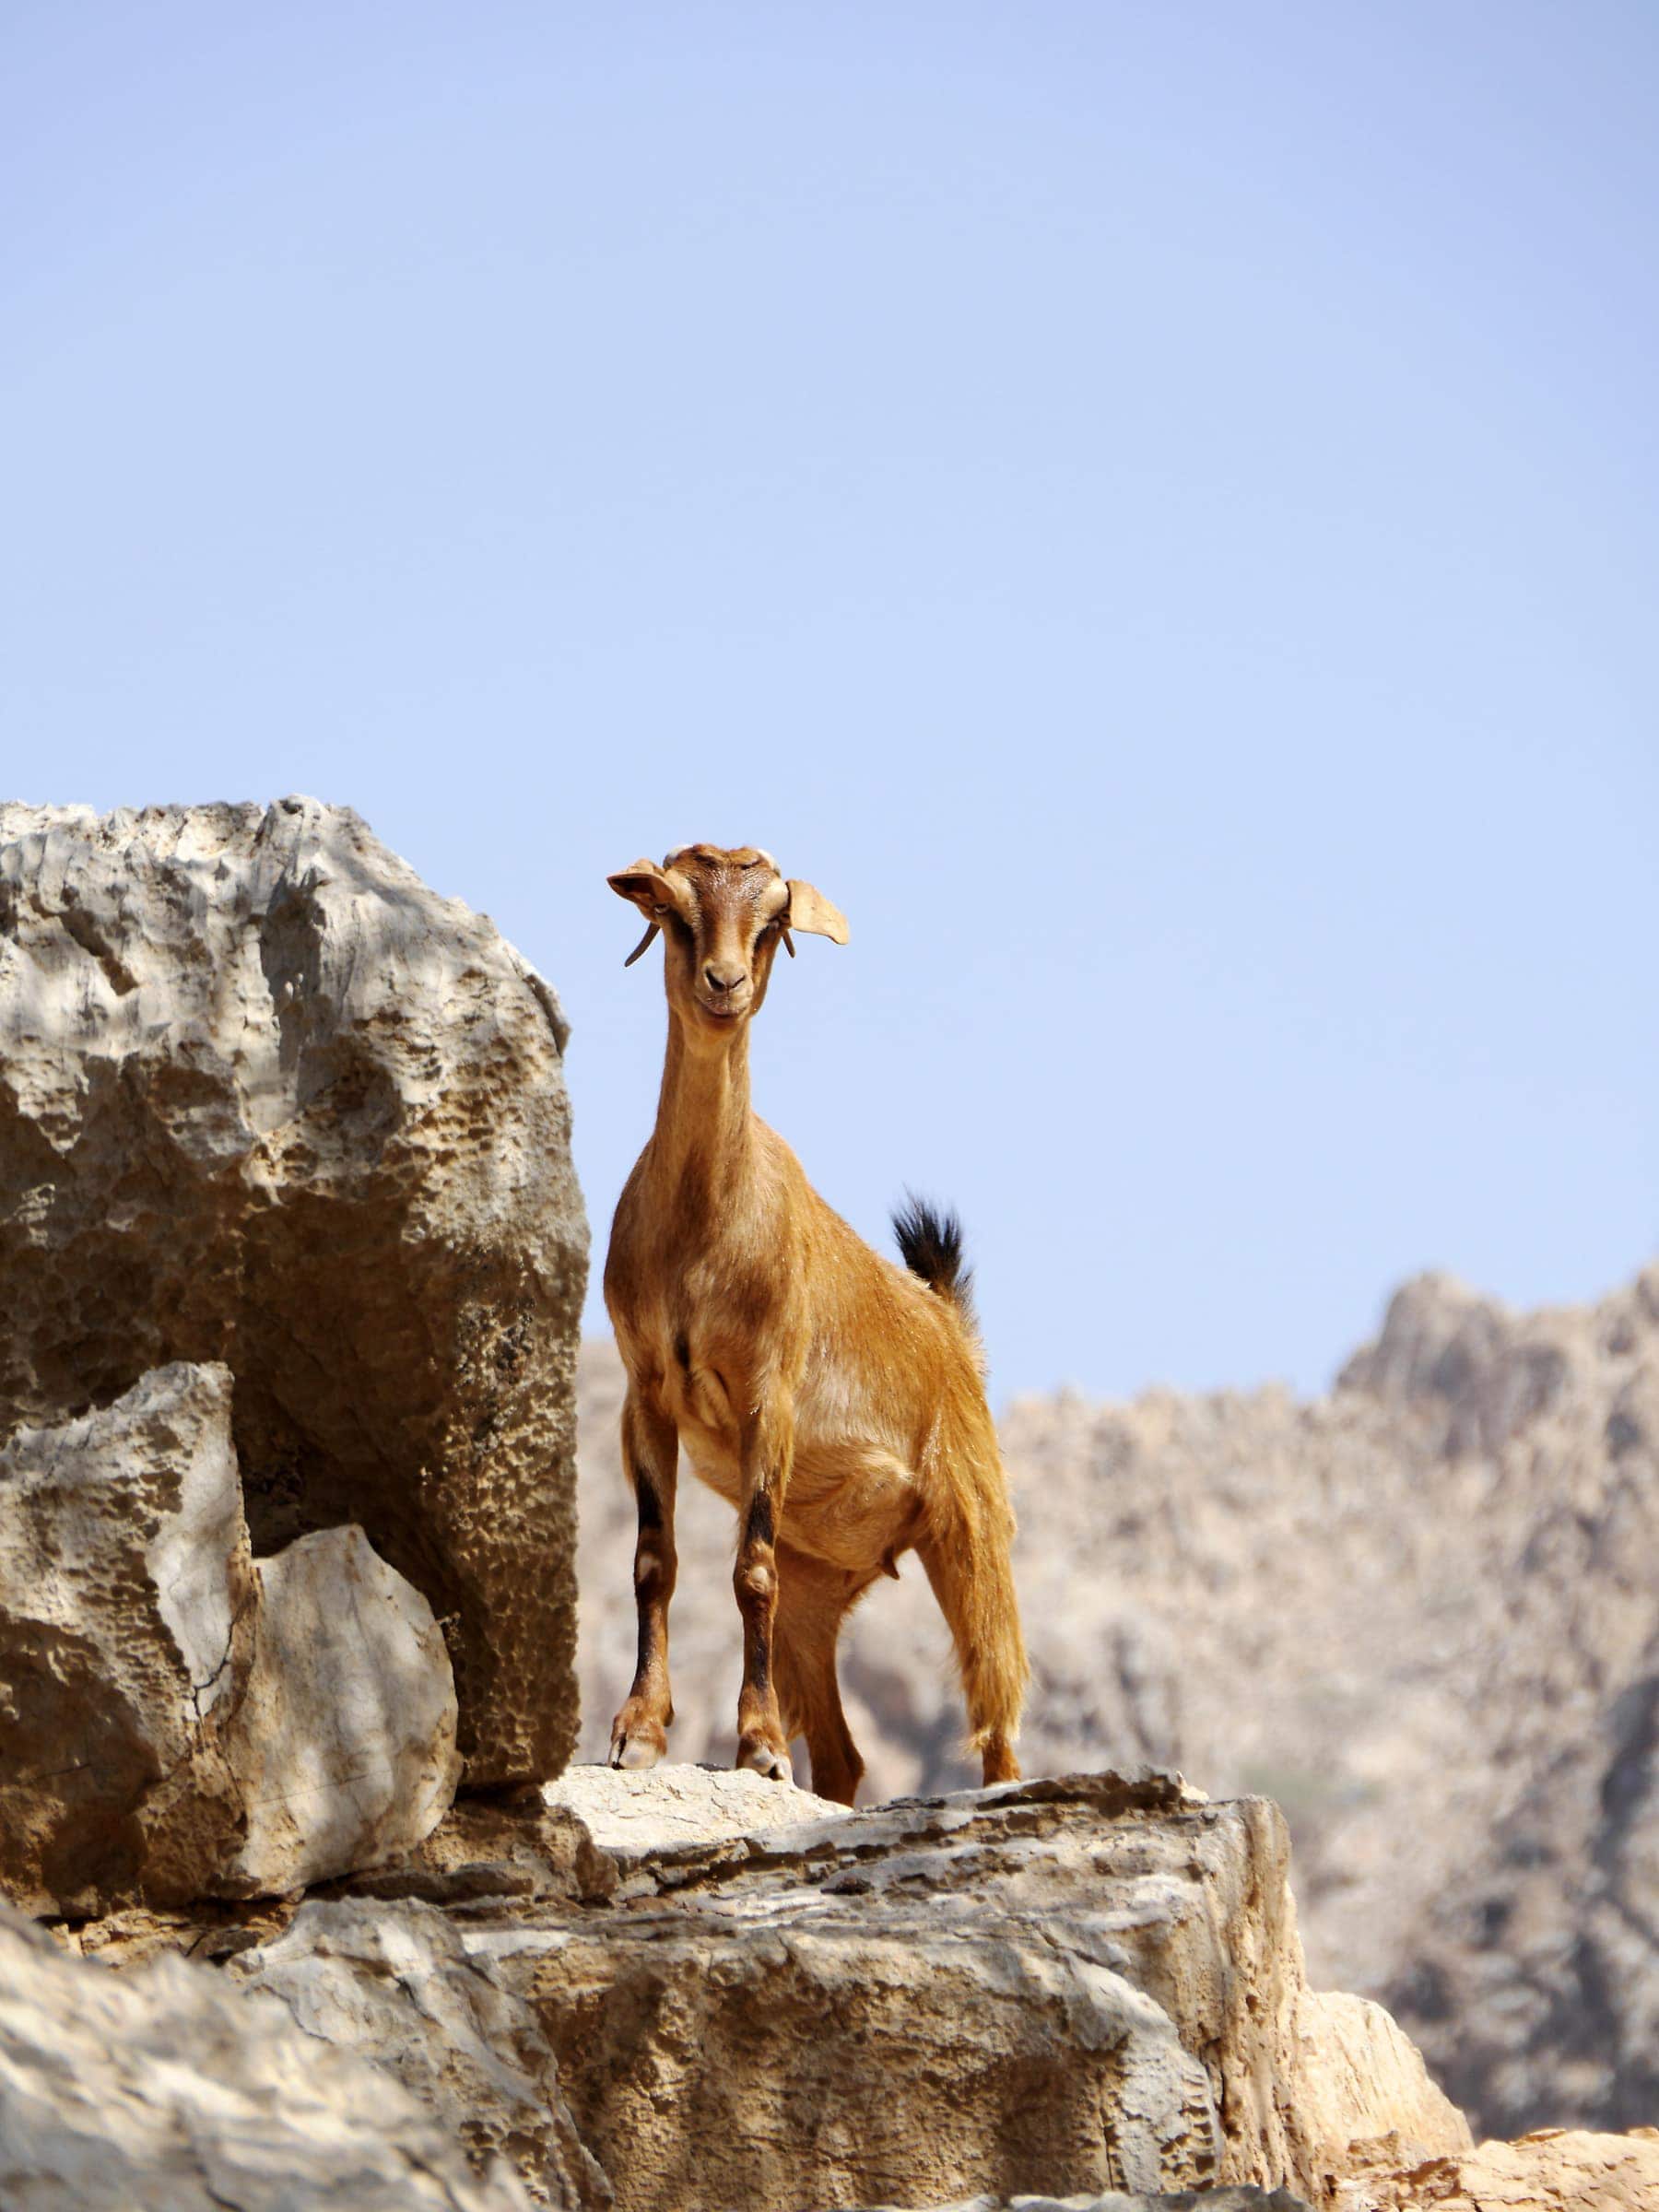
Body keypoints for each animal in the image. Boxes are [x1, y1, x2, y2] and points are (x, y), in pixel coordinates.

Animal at [602, 843, 1028, 1804]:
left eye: (772, 923)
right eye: (674, 912)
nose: (723, 983)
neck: (705, 1225)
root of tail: (949, 1331)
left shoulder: (772, 1393)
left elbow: (747, 1570)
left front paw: (758, 1745)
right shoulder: (645, 1392)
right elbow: (653, 1561)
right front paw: (638, 1732)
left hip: (973, 1533)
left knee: (999, 1727)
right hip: (822, 1584)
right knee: (844, 1757)